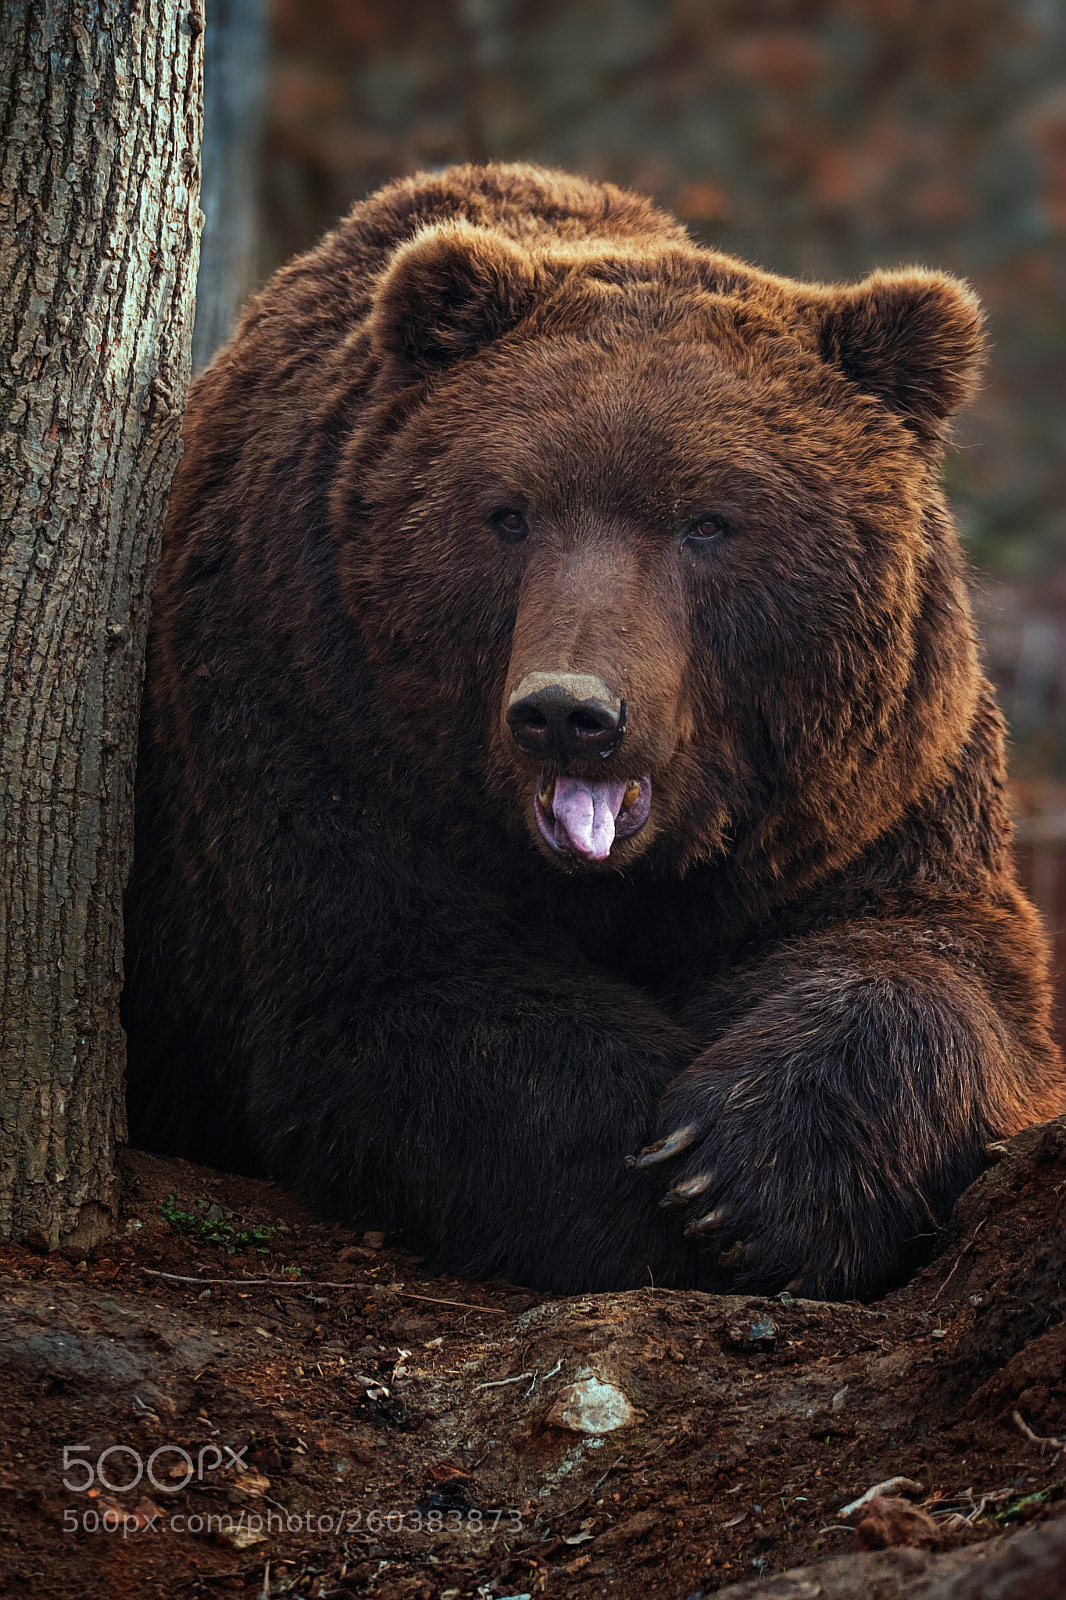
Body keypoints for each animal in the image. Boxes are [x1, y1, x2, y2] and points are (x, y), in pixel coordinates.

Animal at [123, 161, 1064, 1301]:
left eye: (709, 521)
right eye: (508, 512)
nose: (569, 713)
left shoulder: (871, 788)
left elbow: (936, 960)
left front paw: (744, 1175)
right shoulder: (316, 723)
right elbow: (412, 996)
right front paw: (661, 1175)